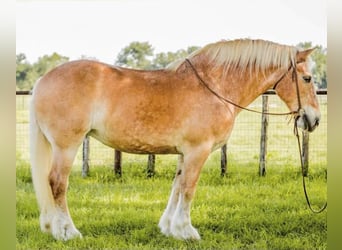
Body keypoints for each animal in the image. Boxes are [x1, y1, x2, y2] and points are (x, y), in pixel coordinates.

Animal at [30, 38, 320, 240]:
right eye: (307, 78)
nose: (314, 119)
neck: (215, 87)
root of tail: (43, 79)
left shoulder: (185, 153)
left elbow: (177, 186)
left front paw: (170, 228)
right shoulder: (197, 151)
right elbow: (189, 188)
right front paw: (186, 230)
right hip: (66, 147)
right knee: (57, 183)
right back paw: (68, 232)